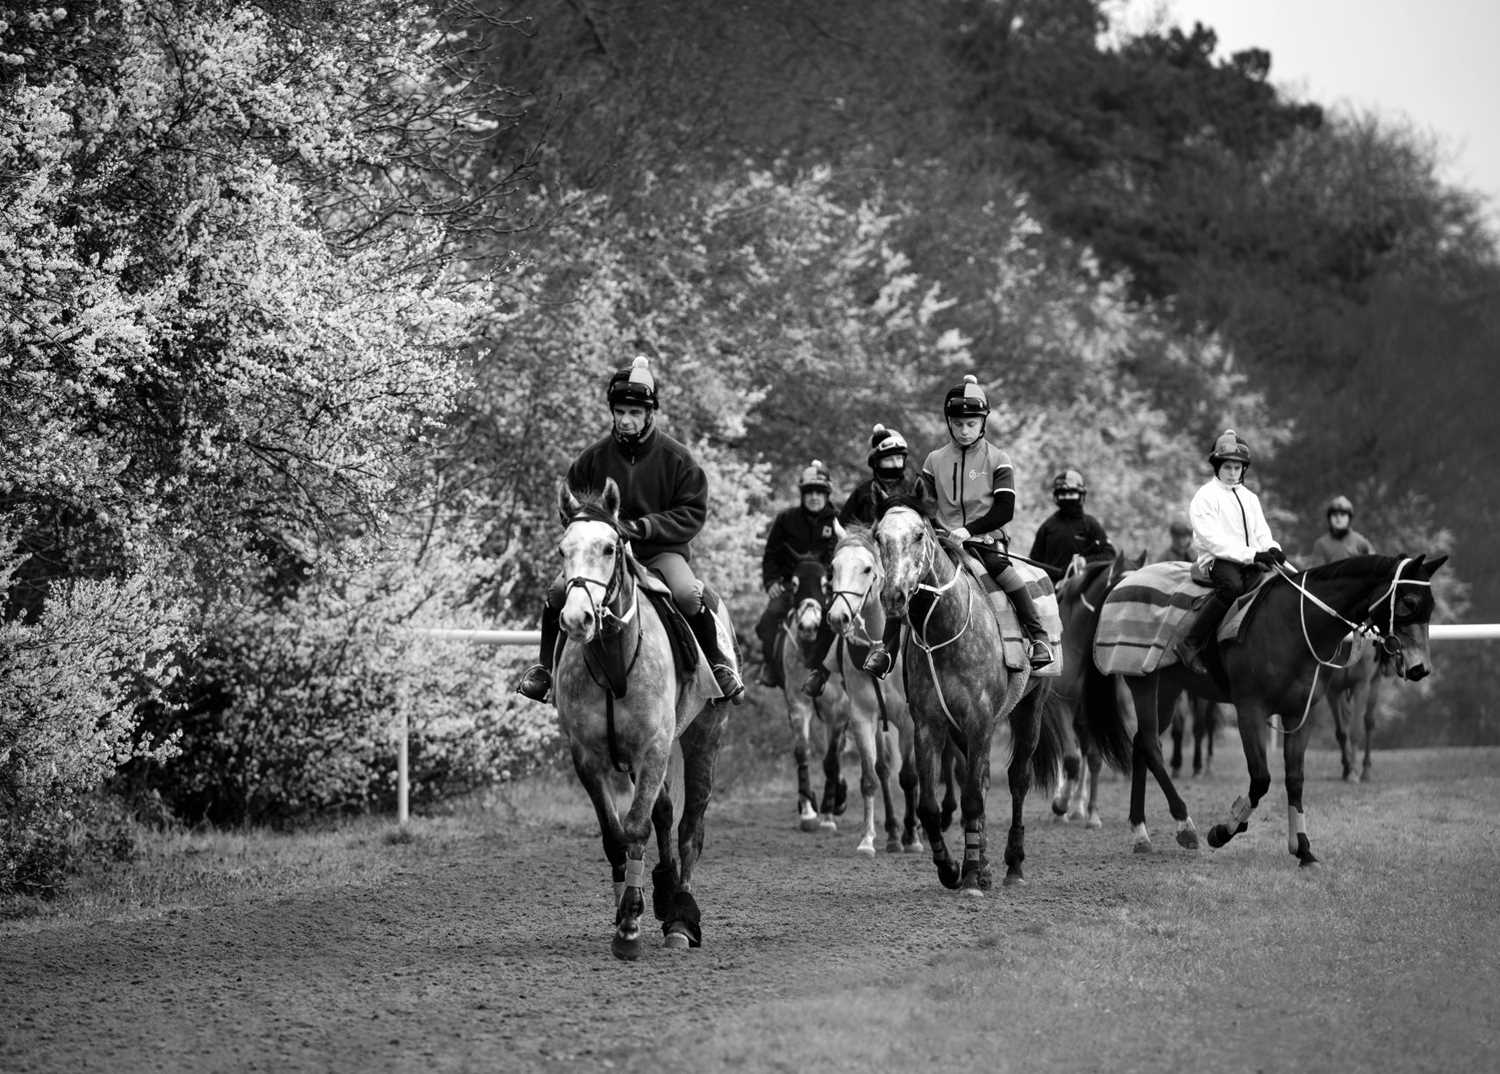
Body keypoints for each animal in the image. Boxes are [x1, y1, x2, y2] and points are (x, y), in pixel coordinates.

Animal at [555, 477, 735, 954]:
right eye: (562, 549)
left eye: (609, 547)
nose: (577, 618)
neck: (614, 660)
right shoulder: (589, 757)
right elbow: (614, 834)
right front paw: (625, 909)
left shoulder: (653, 747)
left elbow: (636, 827)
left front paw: (631, 925)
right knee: (666, 813)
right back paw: (665, 890)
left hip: (704, 735)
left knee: (690, 829)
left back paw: (681, 918)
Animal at [780, 555, 852, 828]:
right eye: (794, 584)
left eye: (825, 584)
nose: (808, 627)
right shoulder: (799, 705)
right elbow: (803, 752)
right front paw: (808, 810)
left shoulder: (839, 711)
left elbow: (831, 761)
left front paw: (829, 813)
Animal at [870, 492, 1068, 888]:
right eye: (879, 536)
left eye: (918, 534)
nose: (894, 596)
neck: (943, 632)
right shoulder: (929, 724)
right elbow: (932, 805)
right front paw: (951, 868)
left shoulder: (980, 721)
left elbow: (974, 798)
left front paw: (972, 874)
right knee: (981, 781)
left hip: (1030, 707)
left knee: (1017, 779)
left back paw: (1013, 864)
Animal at [1110, 555, 1446, 864]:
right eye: (1409, 602)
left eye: (1430, 607)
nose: (1420, 668)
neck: (1293, 625)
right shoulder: (1250, 710)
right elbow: (1261, 778)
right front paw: (1224, 830)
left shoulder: (1300, 714)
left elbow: (1295, 779)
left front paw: (1303, 848)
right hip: (1142, 681)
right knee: (1151, 744)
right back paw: (1185, 826)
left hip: (1167, 690)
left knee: (1141, 742)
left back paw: (1140, 832)